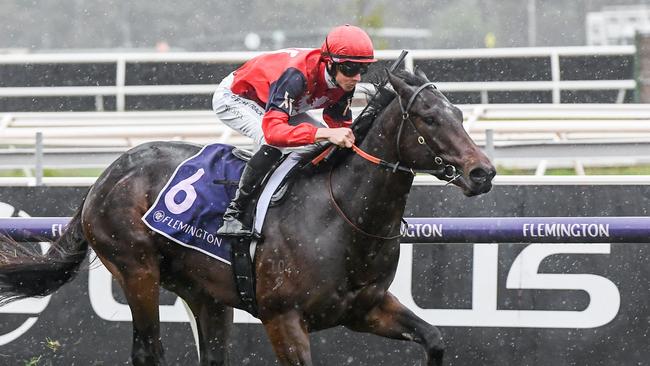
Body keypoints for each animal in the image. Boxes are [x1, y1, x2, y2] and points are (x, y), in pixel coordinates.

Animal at [0, 69, 492, 366]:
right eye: (428, 118)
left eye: (458, 113)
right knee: (148, 350)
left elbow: (434, 338)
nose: (482, 172)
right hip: (136, 269)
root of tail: (108, 173)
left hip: (205, 294)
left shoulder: (365, 308)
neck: (341, 216)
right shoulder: (284, 319)